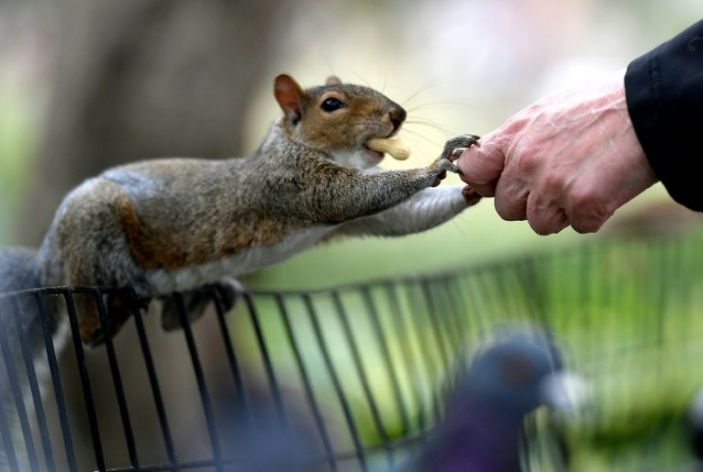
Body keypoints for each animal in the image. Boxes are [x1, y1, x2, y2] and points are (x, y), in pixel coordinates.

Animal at [0, 74, 482, 346]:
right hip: (91, 229)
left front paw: (471, 187)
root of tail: (48, 258)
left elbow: (401, 217)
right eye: (331, 104)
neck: (297, 145)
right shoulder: (293, 184)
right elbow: (353, 195)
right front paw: (436, 164)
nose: (398, 114)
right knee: (88, 331)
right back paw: (118, 301)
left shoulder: (362, 216)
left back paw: (205, 295)